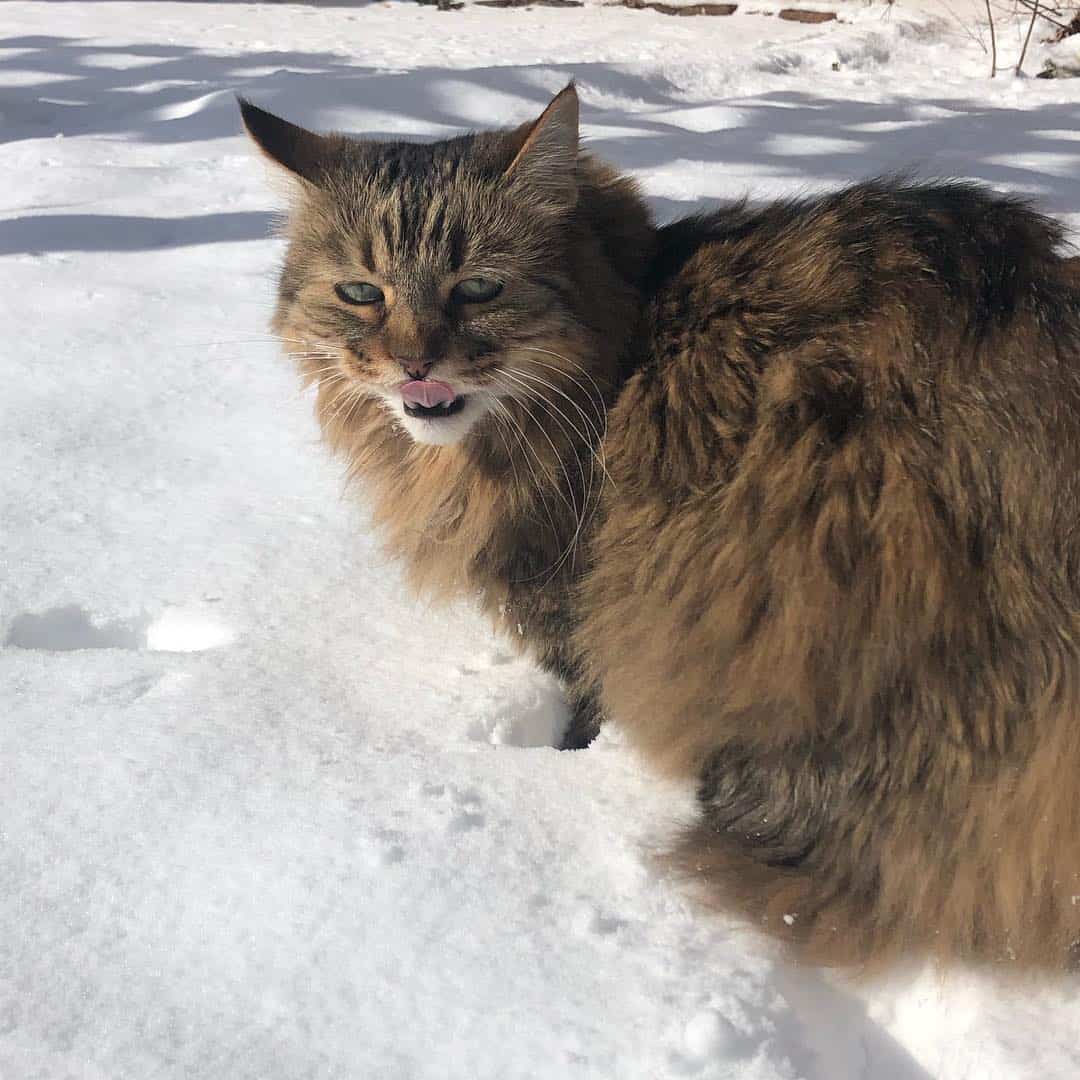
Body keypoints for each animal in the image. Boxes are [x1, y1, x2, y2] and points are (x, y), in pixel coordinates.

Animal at [240, 84, 1080, 972]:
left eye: (479, 289)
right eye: (362, 294)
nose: (414, 364)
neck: (626, 334)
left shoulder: (565, 590)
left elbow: (584, 693)